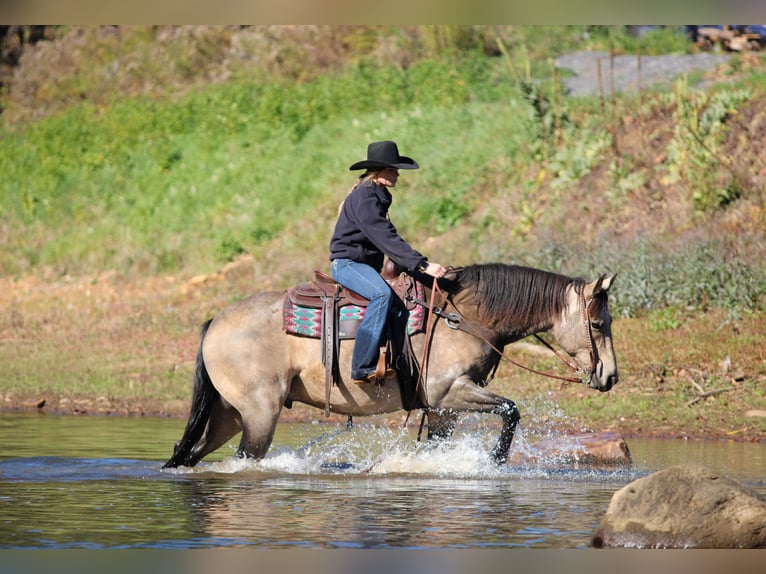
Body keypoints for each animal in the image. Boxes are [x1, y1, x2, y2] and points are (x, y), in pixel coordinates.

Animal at [163, 263, 618, 469]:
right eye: (598, 323)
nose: (610, 376)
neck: (464, 317)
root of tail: (214, 322)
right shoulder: (450, 392)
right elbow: (511, 410)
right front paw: (494, 461)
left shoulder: (443, 409)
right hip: (259, 415)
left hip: (228, 415)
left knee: (188, 454)